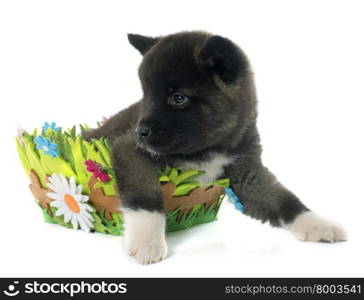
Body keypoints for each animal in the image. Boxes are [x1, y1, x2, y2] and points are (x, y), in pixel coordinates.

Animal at [84, 31, 346, 264]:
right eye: (146, 95)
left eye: (178, 98)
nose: (141, 132)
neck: (209, 147)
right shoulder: (130, 150)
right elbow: (145, 197)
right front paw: (147, 241)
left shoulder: (247, 175)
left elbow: (285, 200)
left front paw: (319, 224)